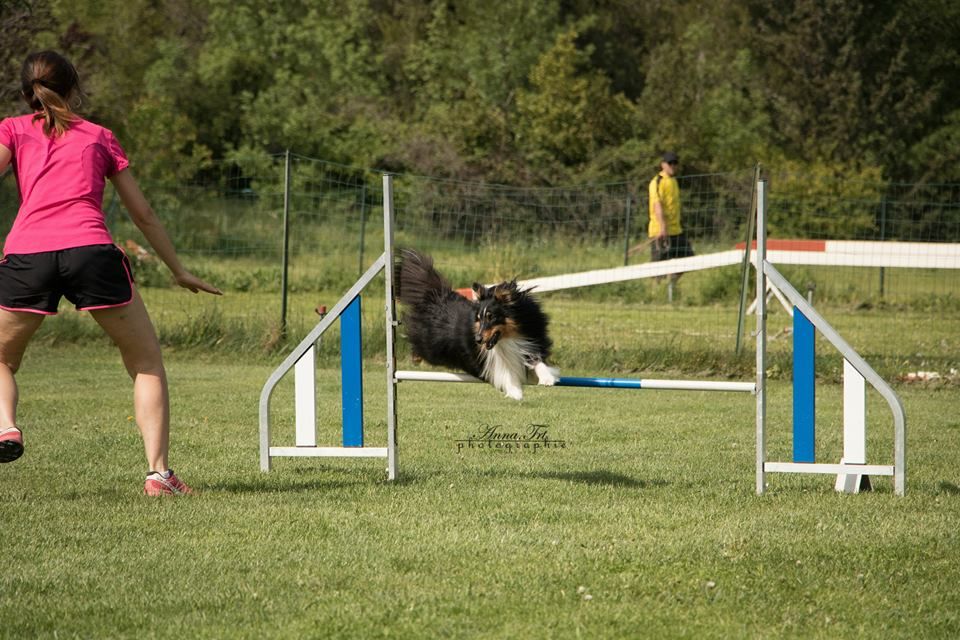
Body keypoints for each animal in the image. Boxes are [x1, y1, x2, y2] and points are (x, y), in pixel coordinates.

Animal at [394, 250, 560, 400]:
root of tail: (437, 295)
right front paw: (515, 392)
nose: (478, 340)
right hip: (432, 348)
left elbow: (537, 360)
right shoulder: (484, 360)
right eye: (479, 318)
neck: (507, 338)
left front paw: (547, 378)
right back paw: (415, 357)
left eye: (491, 317)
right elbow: (502, 374)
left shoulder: (530, 339)